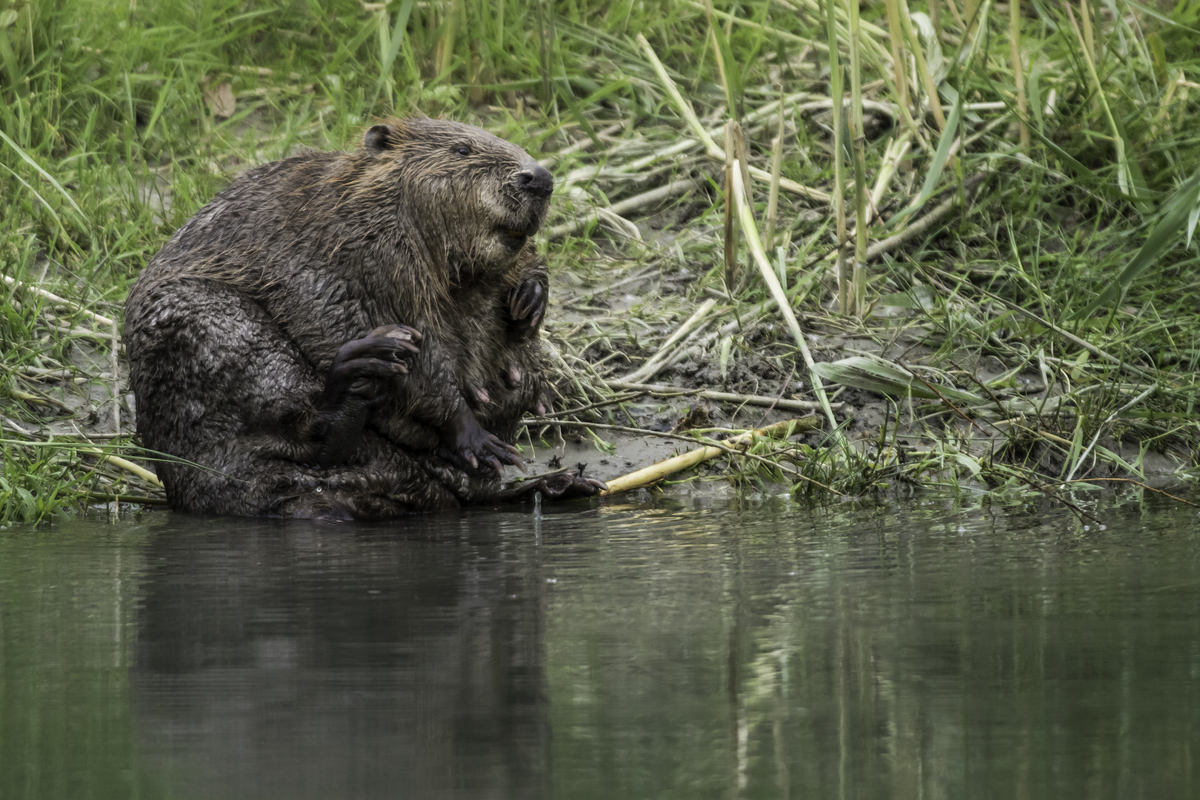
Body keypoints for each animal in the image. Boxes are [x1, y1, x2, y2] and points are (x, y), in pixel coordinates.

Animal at [126, 117, 604, 520]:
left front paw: (529, 299)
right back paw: (362, 368)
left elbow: (523, 268)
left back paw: (562, 486)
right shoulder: (367, 253)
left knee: (468, 495)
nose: (539, 178)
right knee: (306, 429)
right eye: (462, 149)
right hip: (209, 320)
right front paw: (478, 440)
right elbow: (416, 350)